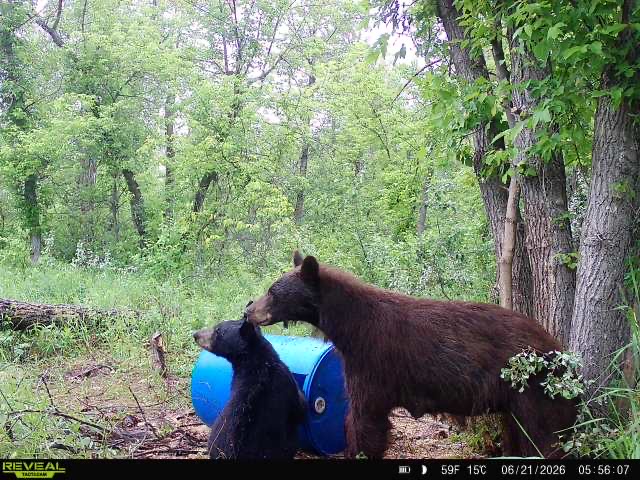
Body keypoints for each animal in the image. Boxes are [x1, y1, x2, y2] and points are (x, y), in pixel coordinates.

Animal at [244, 251, 578, 459]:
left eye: (273, 291)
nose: (249, 309)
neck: (352, 327)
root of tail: (561, 350)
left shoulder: (373, 362)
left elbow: (366, 418)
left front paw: (360, 450)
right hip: (513, 397)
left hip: (536, 389)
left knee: (546, 435)